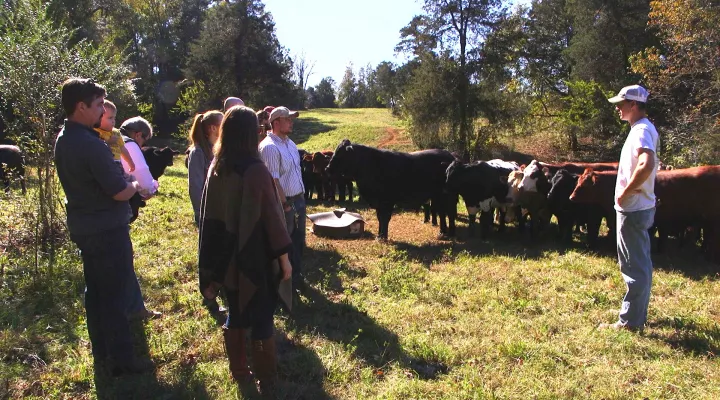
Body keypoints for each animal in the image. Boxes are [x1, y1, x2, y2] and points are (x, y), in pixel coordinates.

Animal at [326, 139, 456, 239]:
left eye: (340, 154)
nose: (327, 168)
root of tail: (448, 154)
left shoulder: (387, 201)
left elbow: (385, 218)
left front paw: (383, 236)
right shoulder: (378, 202)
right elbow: (380, 218)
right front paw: (380, 236)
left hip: (446, 196)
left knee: (449, 213)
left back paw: (450, 233)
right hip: (438, 196)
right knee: (442, 213)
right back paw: (442, 232)